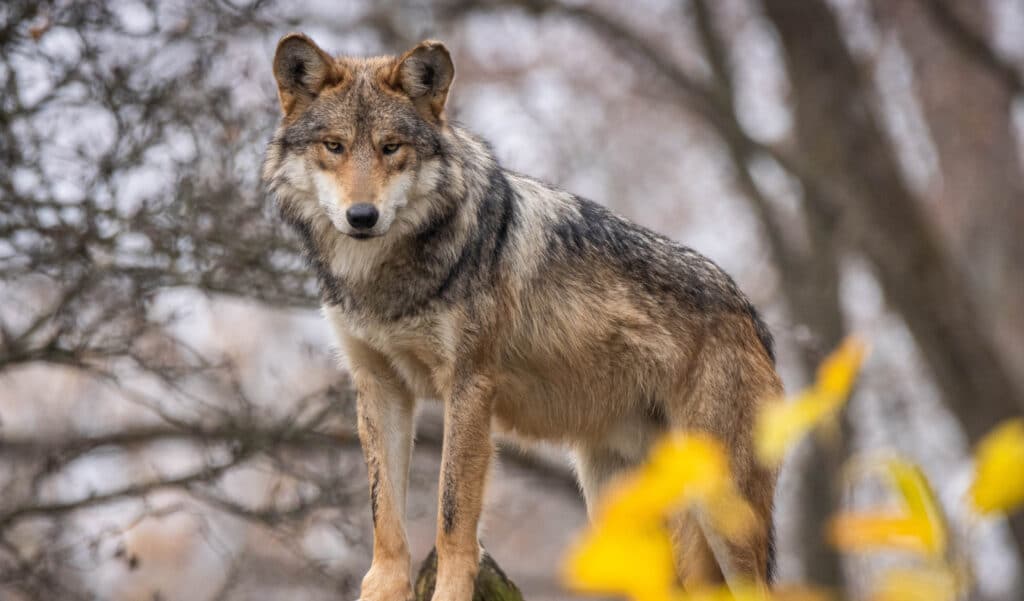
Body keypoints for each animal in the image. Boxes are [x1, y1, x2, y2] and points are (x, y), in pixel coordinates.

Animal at [263, 33, 782, 601]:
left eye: (390, 147)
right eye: (334, 146)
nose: (362, 216)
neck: (384, 279)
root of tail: (753, 318)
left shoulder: (469, 385)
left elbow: (451, 515)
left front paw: (449, 592)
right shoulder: (379, 387)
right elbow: (385, 514)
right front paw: (381, 589)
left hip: (724, 514)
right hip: (620, 508)